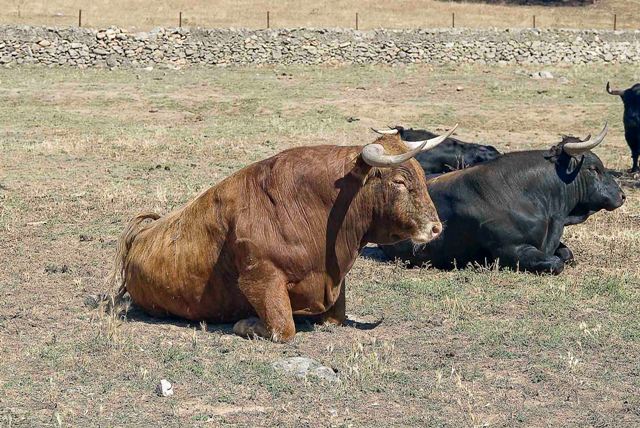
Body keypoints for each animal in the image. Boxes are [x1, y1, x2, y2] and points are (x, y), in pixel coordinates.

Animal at [114, 126, 456, 342]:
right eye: (399, 181)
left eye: (423, 174)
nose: (436, 228)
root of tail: (137, 239)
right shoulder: (260, 279)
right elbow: (283, 328)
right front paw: (245, 324)